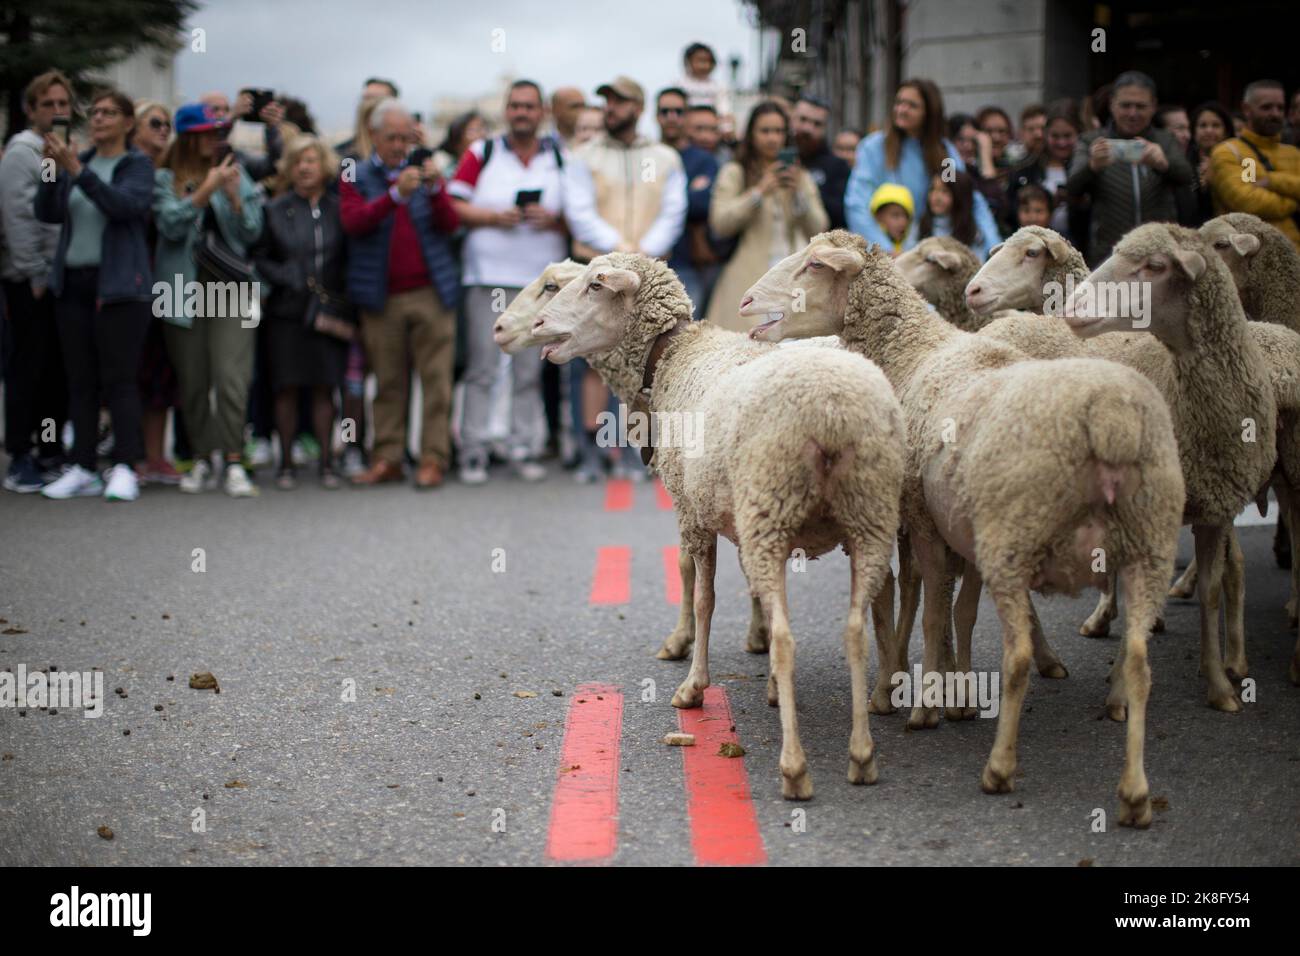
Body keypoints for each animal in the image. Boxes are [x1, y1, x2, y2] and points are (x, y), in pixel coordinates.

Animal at [527, 251, 904, 796]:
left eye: (595, 285)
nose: (537, 324)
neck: (674, 354)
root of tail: (830, 411)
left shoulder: (694, 513)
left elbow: (703, 599)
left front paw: (693, 686)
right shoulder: (734, 517)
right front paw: (770, 685)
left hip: (774, 508)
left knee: (790, 637)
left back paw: (795, 767)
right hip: (866, 516)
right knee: (857, 626)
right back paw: (862, 752)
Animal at [738, 227, 1185, 827]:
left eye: (812, 265)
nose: (744, 301)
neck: (914, 350)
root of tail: (1107, 419)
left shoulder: (924, 520)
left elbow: (929, 612)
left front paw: (927, 703)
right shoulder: (962, 526)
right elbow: (962, 611)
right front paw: (961, 694)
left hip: (1016, 534)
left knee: (1017, 655)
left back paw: (999, 768)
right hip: (1145, 544)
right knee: (1139, 663)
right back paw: (1134, 792)